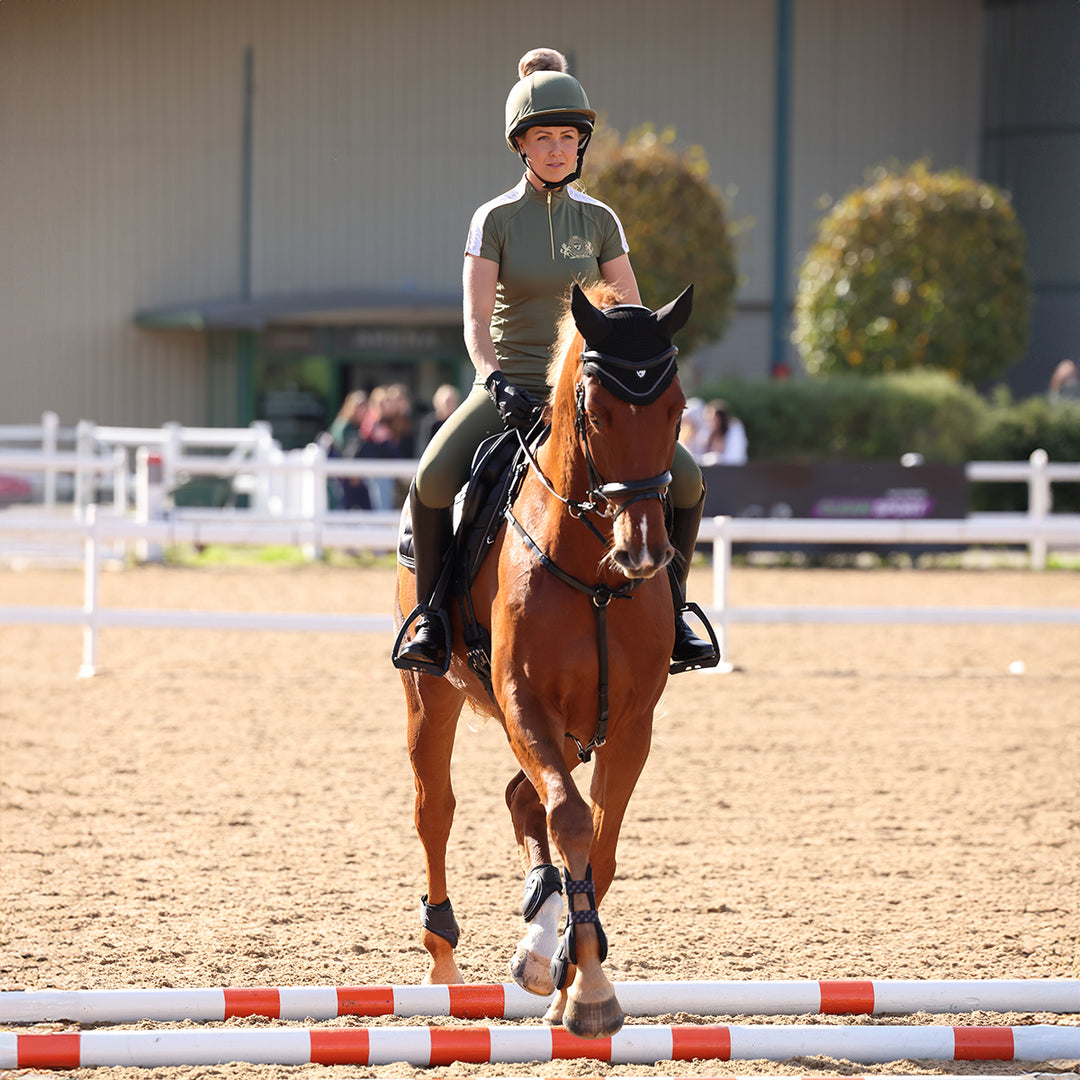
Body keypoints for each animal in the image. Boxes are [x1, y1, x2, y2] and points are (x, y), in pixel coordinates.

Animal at [395, 278, 691, 1036]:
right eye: (595, 412)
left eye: (676, 409)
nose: (644, 552)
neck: (594, 574)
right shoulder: (526, 701)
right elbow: (570, 819)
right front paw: (589, 990)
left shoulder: (631, 722)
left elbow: (600, 841)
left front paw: (570, 974)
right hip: (435, 695)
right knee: (436, 809)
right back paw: (444, 957)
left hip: (576, 728)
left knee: (520, 798)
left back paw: (537, 945)